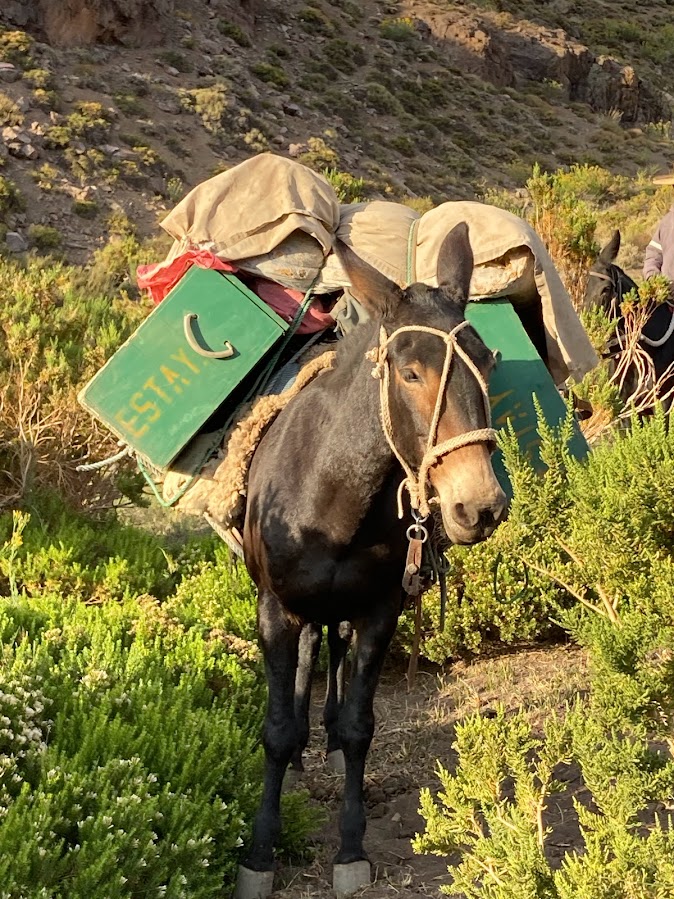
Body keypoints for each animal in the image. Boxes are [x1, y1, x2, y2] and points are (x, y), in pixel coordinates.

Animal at [234, 223, 508, 899]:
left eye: (488, 363)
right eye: (410, 373)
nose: (481, 507)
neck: (333, 494)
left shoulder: (381, 611)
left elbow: (362, 727)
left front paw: (351, 847)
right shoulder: (274, 611)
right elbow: (275, 730)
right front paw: (261, 851)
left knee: (331, 645)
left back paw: (327, 739)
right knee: (312, 652)